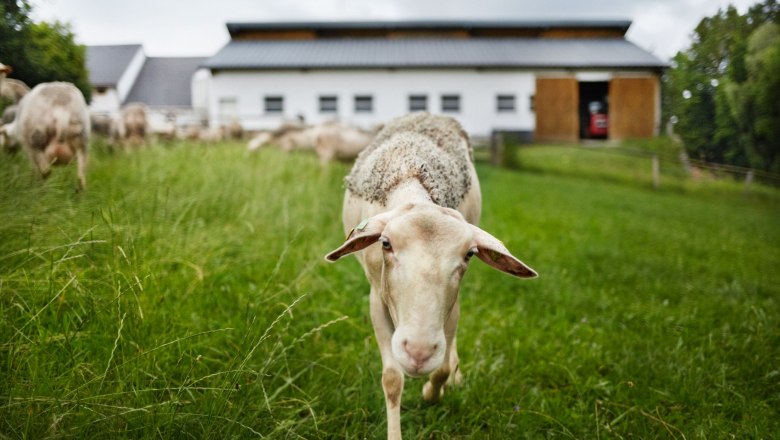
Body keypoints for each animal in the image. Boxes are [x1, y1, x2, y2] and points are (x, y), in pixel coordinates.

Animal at [325, 112, 537, 440]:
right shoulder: (377, 298)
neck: (411, 176)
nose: (419, 352)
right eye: (385, 243)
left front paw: (431, 392)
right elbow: (392, 379)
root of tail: (428, 113)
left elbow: (442, 368)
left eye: (469, 254)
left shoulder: (450, 304)